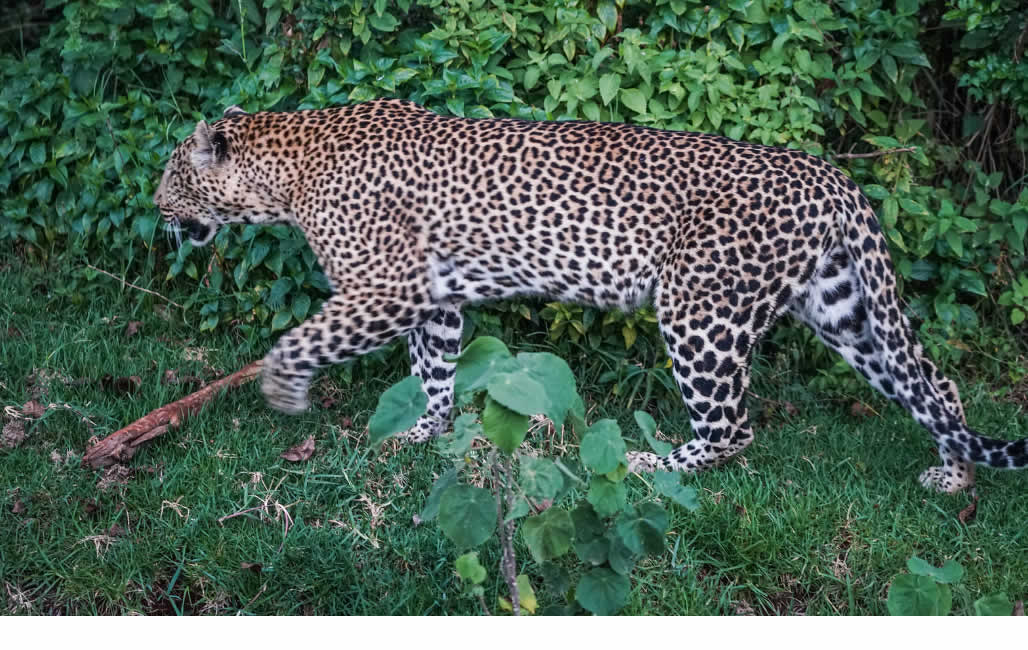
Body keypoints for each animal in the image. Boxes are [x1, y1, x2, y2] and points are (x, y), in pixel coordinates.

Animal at [153, 98, 1027, 494]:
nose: (155, 212)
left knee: (733, 426)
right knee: (934, 382)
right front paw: (426, 435)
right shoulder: (433, 296)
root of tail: (831, 175)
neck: (284, 171)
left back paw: (651, 463)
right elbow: (436, 372)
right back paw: (953, 476)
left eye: (169, 177)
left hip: (701, 310)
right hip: (841, 307)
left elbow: (304, 338)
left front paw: (283, 390)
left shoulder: (386, 287)